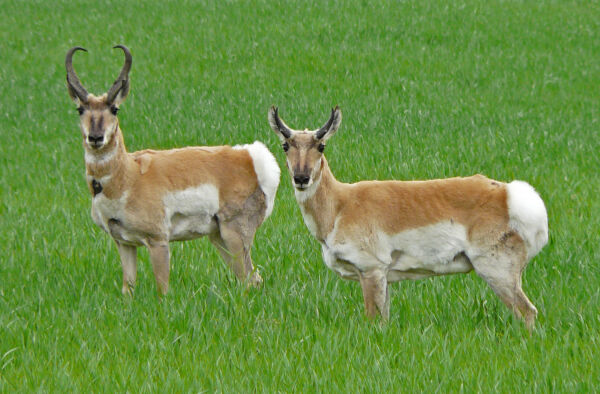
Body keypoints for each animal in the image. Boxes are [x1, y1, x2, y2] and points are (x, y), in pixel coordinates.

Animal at [65, 44, 282, 294]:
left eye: (115, 109)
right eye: (80, 109)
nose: (95, 137)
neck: (127, 176)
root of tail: (249, 156)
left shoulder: (158, 241)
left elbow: (163, 289)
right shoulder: (124, 242)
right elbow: (128, 288)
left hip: (234, 234)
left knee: (251, 279)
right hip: (218, 237)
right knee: (250, 278)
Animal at [270, 105, 548, 330]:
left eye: (321, 146)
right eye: (285, 145)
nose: (301, 178)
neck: (341, 204)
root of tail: (508, 194)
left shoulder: (371, 271)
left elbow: (373, 321)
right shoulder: (384, 278)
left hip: (496, 271)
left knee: (527, 311)